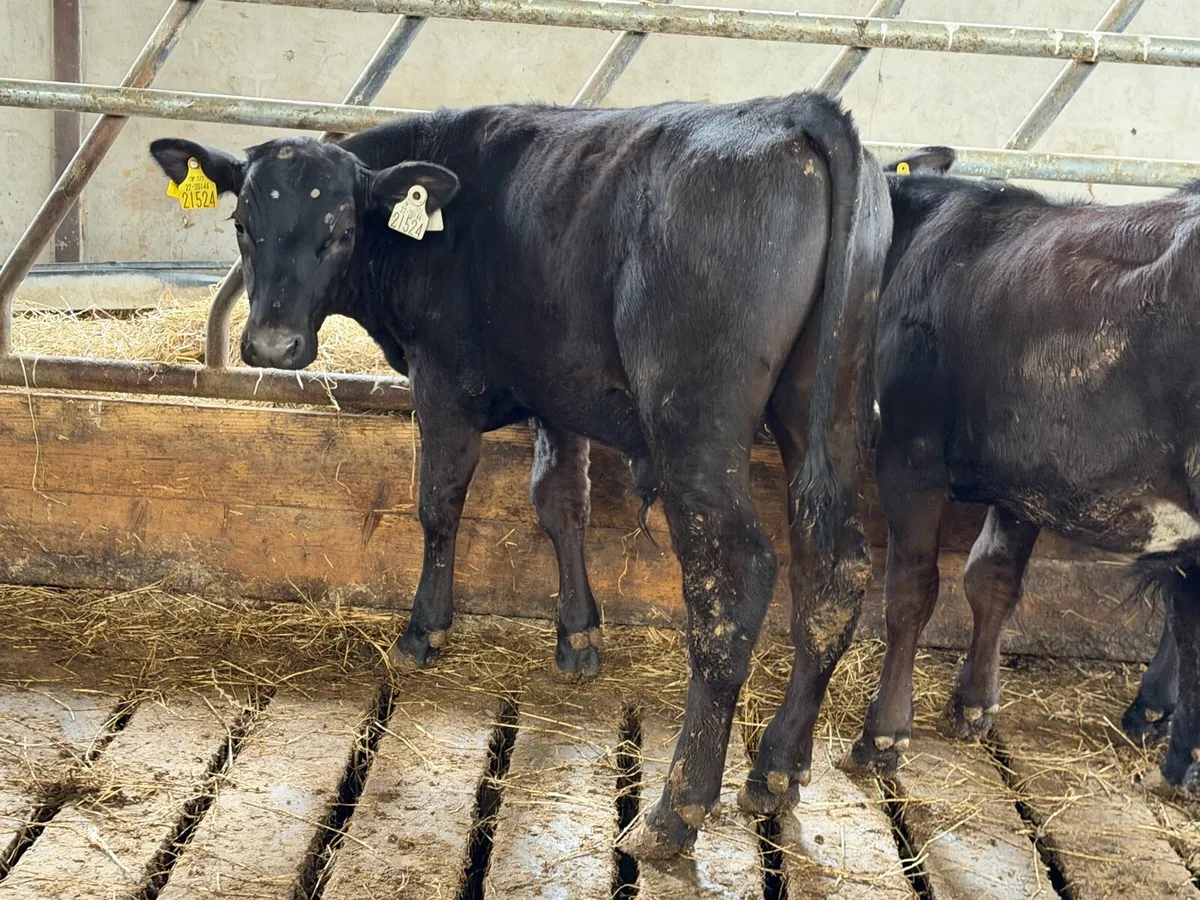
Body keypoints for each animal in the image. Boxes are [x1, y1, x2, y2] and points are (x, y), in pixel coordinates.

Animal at [150, 93, 891, 856]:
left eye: (341, 229)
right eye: (243, 225)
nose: (273, 345)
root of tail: (793, 111)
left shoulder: (443, 379)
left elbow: (439, 501)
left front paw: (424, 630)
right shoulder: (558, 392)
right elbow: (561, 504)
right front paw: (578, 635)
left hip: (696, 420)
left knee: (734, 580)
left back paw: (675, 809)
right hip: (827, 410)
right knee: (836, 571)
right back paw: (777, 768)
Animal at [849, 146, 1200, 793]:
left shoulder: (909, 453)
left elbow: (911, 590)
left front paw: (885, 733)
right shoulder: (1029, 475)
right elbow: (992, 579)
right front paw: (973, 703)